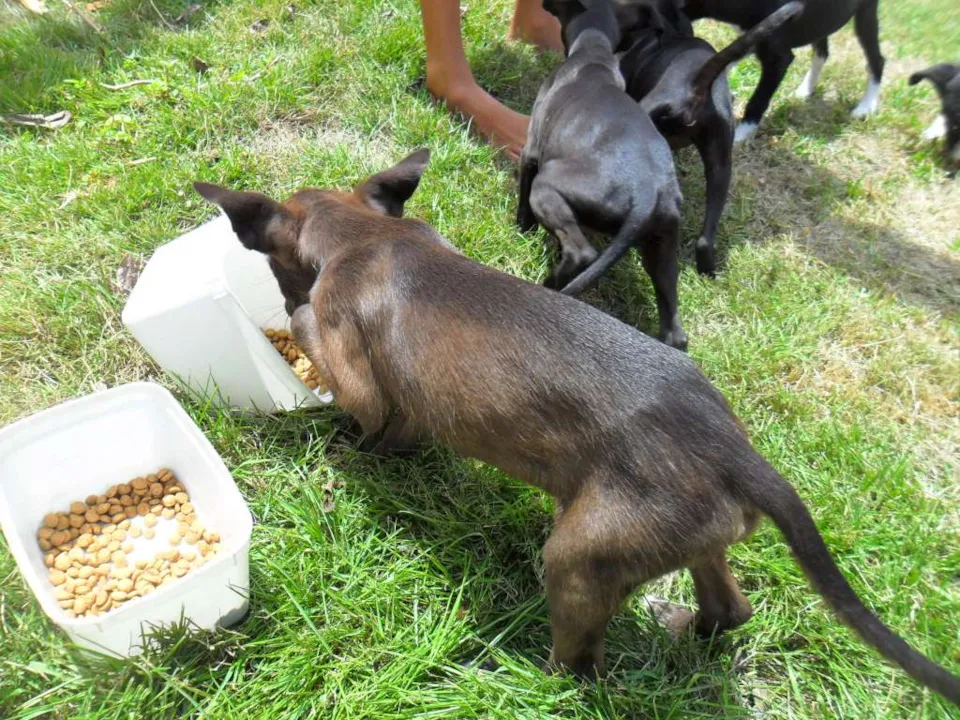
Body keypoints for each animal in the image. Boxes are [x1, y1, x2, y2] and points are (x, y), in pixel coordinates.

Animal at [194, 151, 960, 703]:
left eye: (275, 268)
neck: (371, 237)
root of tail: (740, 456)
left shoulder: (358, 373)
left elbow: (322, 349)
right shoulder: (403, 406)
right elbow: (397, 432)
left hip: (578, 560)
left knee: (580, 670)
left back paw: (513, 677)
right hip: (685, 538)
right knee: (729, 608)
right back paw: (682, 625)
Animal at [518, 0, 686, 350]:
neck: (594, 55)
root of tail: (648, 192)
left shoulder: (532, 150)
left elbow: (522, 203)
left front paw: (520, 230)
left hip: (547, 188)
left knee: (581, 253)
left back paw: (550, 285)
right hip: (662, 245)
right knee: (675, 331)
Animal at [621, 0, 885, 142]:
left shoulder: (778, 57)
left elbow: (758, 99)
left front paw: (740, 135)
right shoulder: (750, 34)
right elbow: (725, 58)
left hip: (866, 14)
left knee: (877, 60)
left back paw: (866, 106)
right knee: (822, 51)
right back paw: (806, 89)